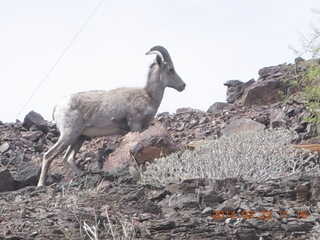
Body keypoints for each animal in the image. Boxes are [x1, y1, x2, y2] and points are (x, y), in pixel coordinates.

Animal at [37, 46, 186, 187]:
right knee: (48, 155)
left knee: (68, 158)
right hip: (69, 135)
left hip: (79, 137)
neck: (149, 96)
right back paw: (41, 184)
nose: (183, 85)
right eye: (171, 69)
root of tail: (57, 107)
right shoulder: (136, 125)